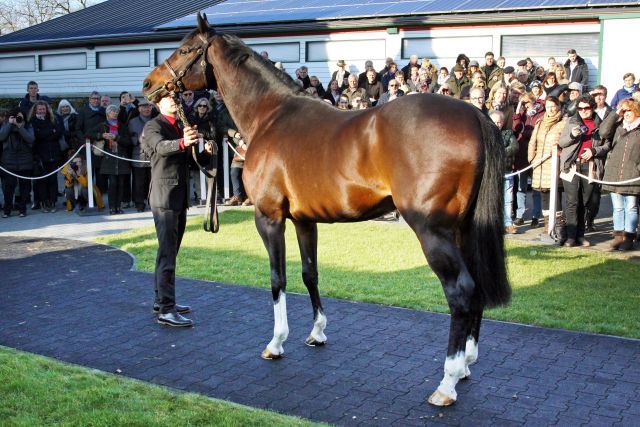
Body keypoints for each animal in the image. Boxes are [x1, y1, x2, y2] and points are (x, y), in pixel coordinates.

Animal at [144, 13, 510, 408]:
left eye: (185, 49)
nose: (149, 84)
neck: (270, 116)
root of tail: (474, 115)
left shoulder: (269, 218)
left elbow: (277, 278)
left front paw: (276, 343)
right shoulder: (305, 221)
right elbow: (310, 274)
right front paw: (317, 333)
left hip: (432, 231)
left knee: (460, 291)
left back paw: (447, 382)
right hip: (463, 229)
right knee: (475, 287)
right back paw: (467, 363)